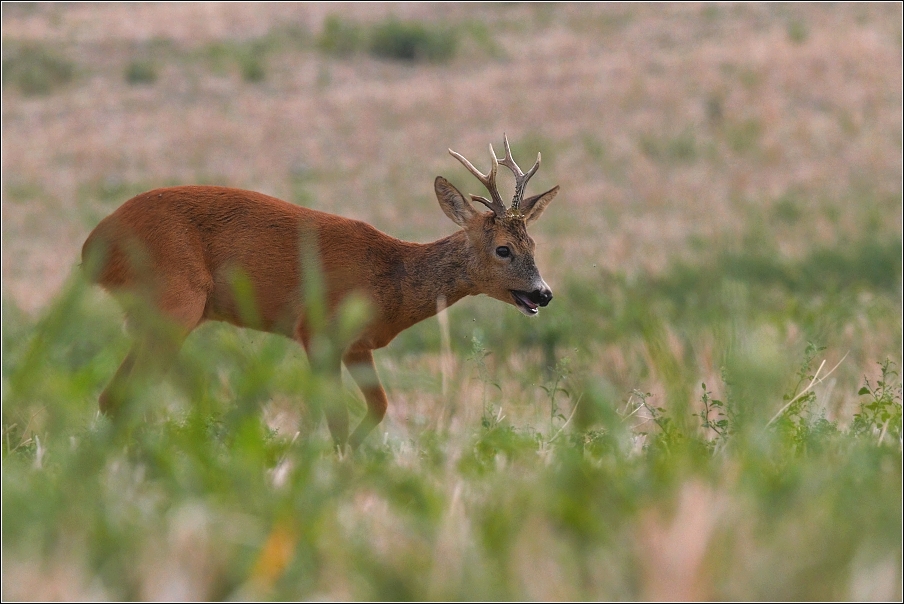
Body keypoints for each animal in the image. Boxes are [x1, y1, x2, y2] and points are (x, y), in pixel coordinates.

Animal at [81, 137, 556, 448]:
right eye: (504, 249)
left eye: (534, 245)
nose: (544, 293)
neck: (392, 282)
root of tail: (92, 247)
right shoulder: (317, 330)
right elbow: (335, 420)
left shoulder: (358, 345)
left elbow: (379, 406)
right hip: (175, 300)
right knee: (122, 394)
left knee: (112, 397)